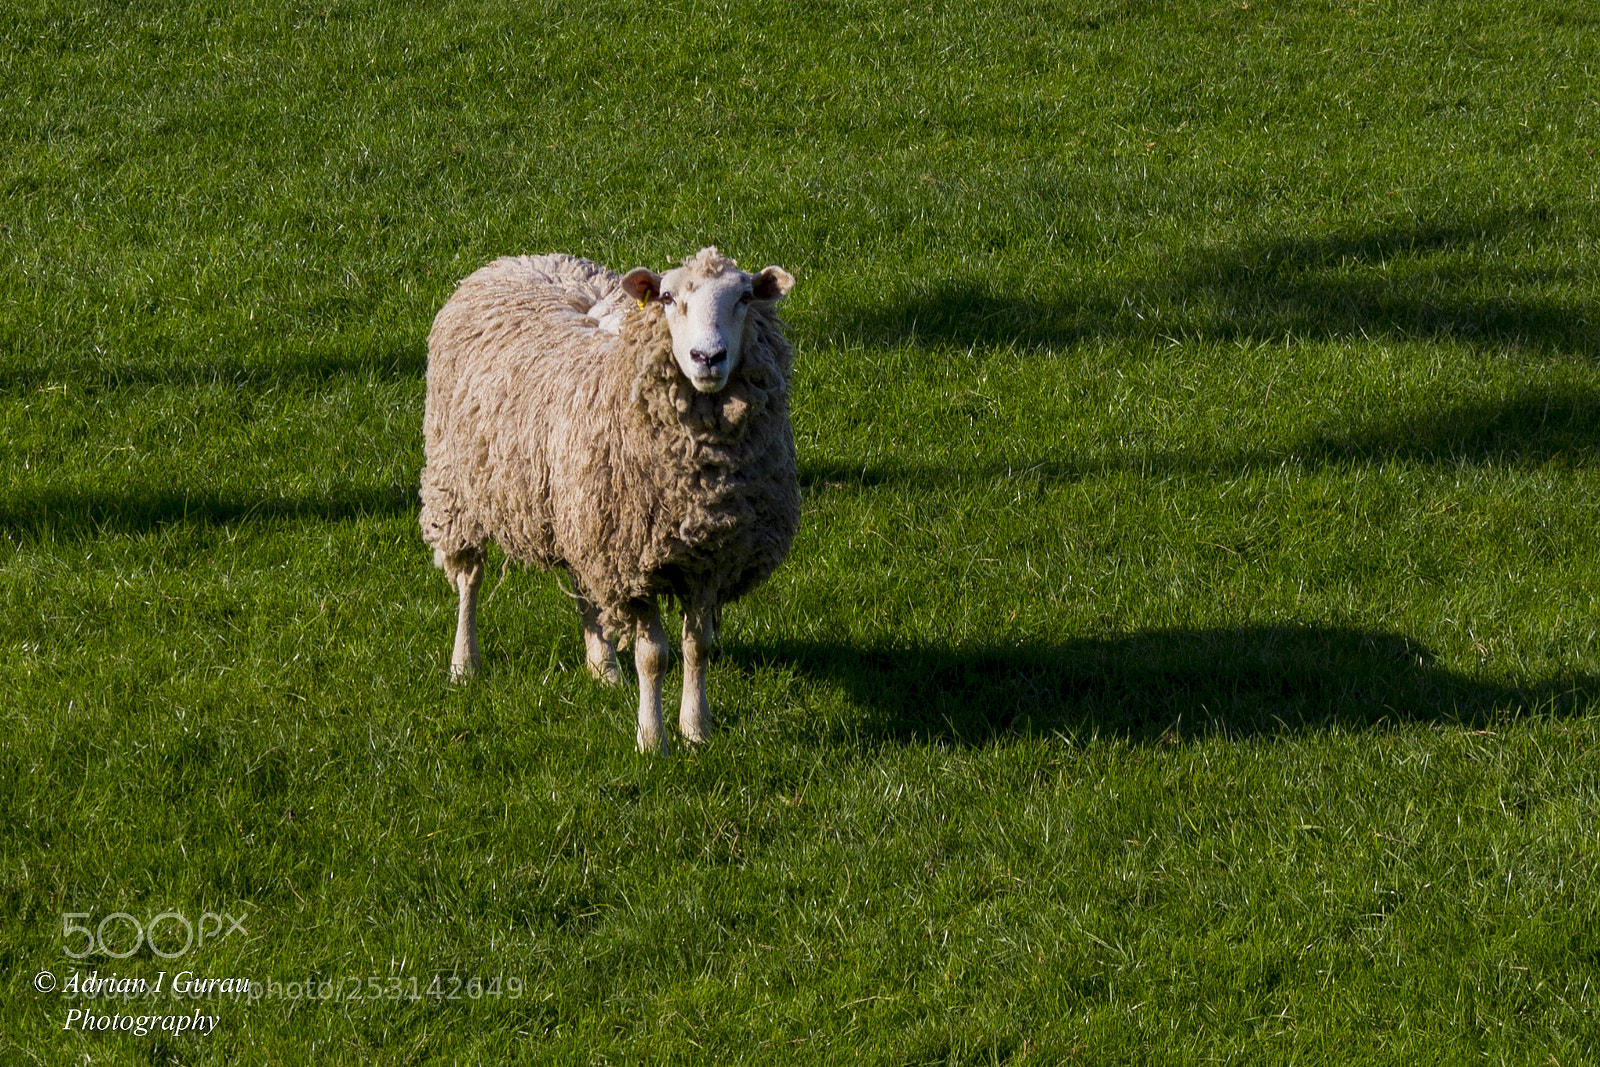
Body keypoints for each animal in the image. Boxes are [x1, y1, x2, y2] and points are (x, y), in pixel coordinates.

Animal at [418, 247, 799, 752]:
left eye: (744, 297)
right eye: (667, 297)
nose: (707, 357)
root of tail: (518, 259)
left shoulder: (707, 561)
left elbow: (696, 648)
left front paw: (697, 730)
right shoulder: (632, 564)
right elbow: (654, 657)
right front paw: (651, 740)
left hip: (579, 512)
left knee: (582, 585)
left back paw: (602, 668)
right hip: (457, 486)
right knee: (469, 579)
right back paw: (465, 663)